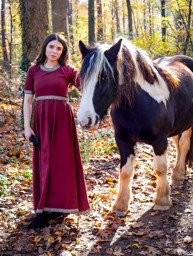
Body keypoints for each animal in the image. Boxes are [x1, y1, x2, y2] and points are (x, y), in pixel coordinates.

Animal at [77, 38, 193, 216]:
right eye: (82, 76)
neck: (138, 104)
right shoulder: (122, 139)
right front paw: (120, 205)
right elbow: (125, 171)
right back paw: (178, 175)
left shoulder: (159, 140)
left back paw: (179, 174)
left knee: (184, 144)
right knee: (178, 144)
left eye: (104, 76)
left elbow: (160, 168)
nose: (85, 120)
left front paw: (162, 201)